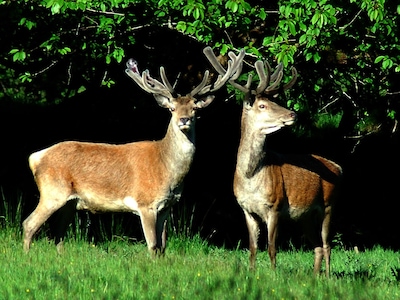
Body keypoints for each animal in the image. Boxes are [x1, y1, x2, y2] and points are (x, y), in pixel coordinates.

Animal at [24, 48, 247, 254]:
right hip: (53, 191)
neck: (167, 169)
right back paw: (27, 257)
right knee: (29, 224)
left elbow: (163, 247)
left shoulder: (167, 206)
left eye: (195, 108)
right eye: (171, 109)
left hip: (70, 202)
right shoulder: (145, 203)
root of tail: (35, 157)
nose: (184, 120)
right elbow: (153, 245)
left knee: (58, 234)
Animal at [205, 48, 342, 276]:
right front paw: (251, 273)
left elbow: (271, 247)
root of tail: (338, 167)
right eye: (262, 105)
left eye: (275, 102)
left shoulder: (275, 206)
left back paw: (329, 277)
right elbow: (252, 247)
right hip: (305, 216)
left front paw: (274, 275)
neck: (251, 177)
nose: (293, 113)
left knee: (327, 245)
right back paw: (315, 277)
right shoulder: (246, 209)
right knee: (317, 247)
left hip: (329, 204)